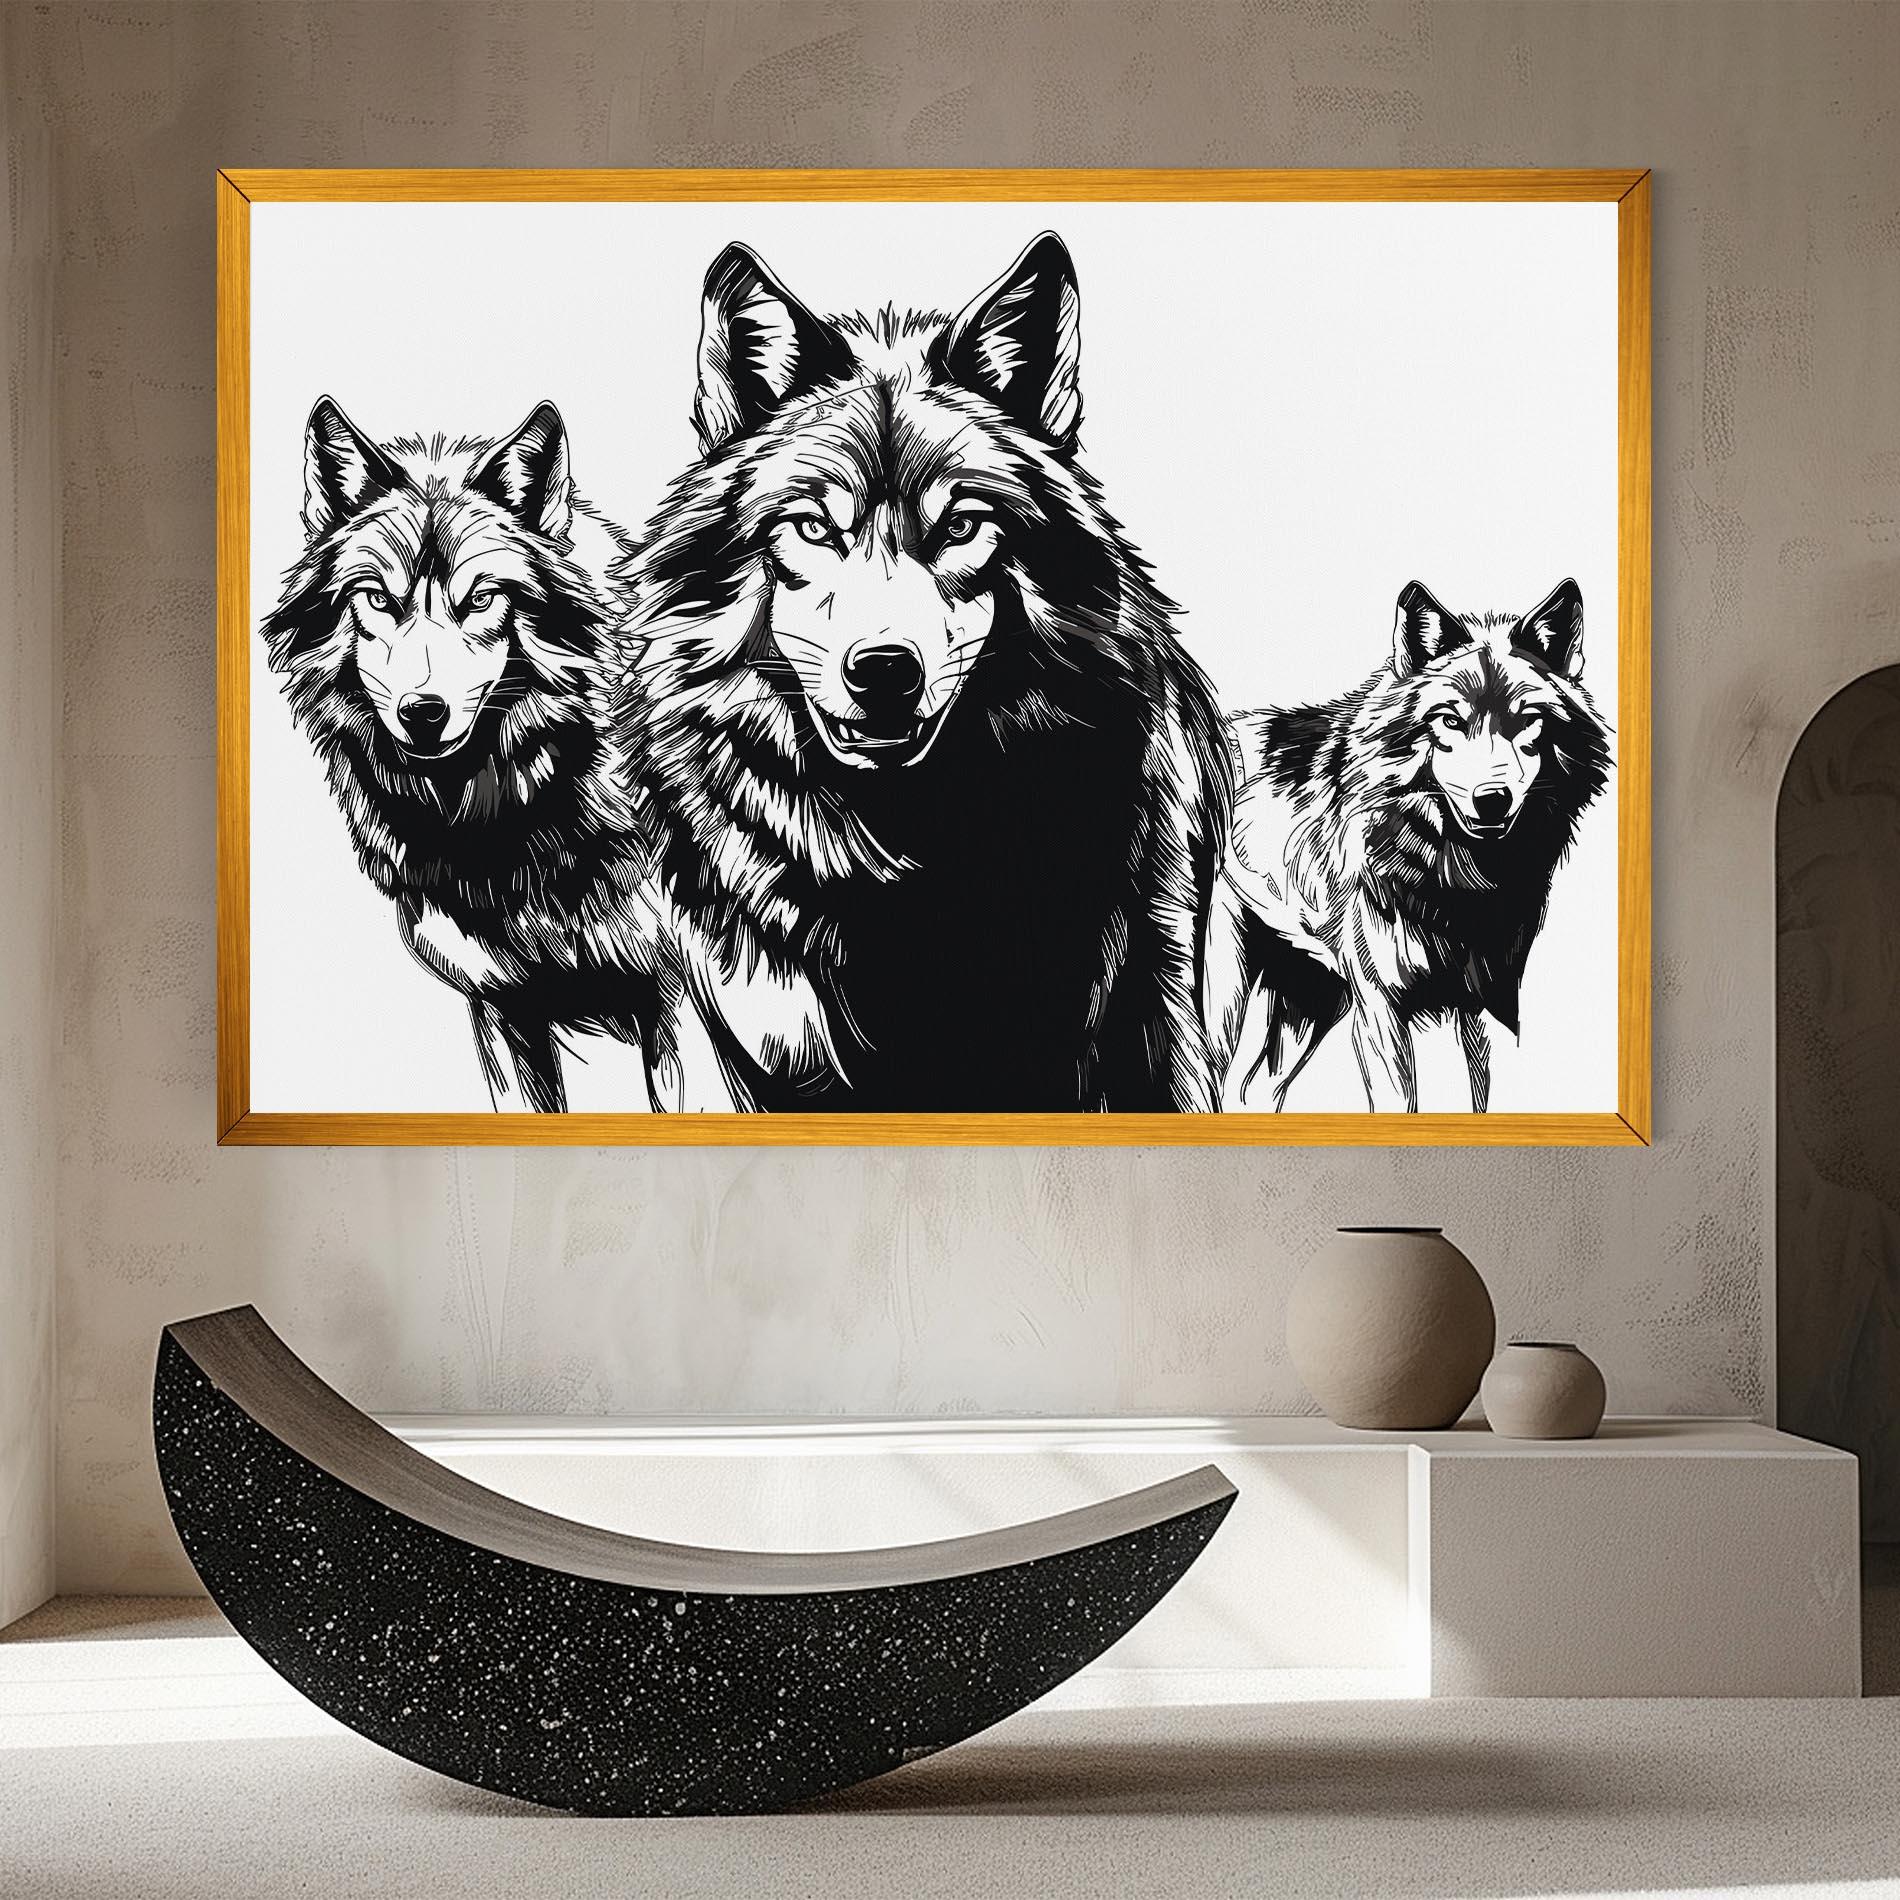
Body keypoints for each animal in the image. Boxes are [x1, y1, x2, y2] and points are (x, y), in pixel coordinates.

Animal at [1208, 578, 1611, 1113]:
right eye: (1449, 721)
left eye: (1526, 720)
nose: (1493, 800)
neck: (1460, 882)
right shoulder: (1382, 1007)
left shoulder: (1484, 1006)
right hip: (1223, 993)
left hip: (1314, 998)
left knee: (1253, 1088)